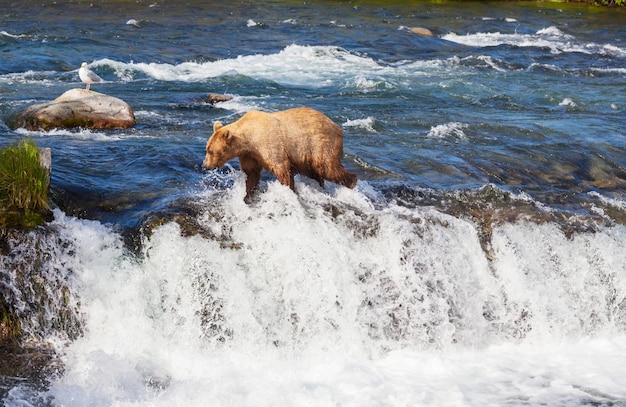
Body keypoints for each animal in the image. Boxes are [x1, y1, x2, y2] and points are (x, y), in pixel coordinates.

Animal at [201, 107, 354, 199]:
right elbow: (252, 174)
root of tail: (336, 126)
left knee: (326, 167)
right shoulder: (249, 155)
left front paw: (288, 189)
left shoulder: (270, 145)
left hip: (320, 143)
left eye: (211, 151)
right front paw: (248, 194)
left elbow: (281, 168)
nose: (205, 165)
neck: (249, 140)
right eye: (207, 149)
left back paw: (350, 182)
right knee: (314, 172)